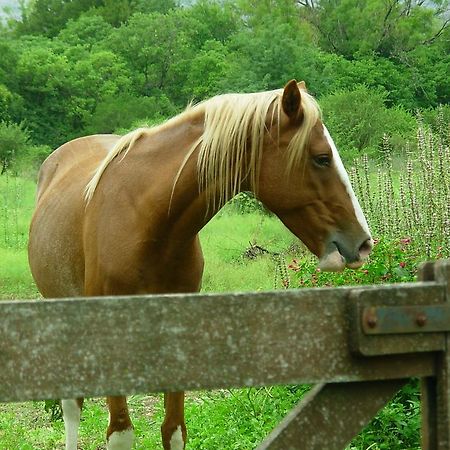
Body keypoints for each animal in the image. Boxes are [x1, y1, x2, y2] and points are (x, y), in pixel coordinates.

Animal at [27, 81, 372, 450]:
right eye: (321, 158)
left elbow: (174, 430)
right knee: (71, 406)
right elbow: (120, 434)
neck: (145, 220)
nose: (364, 244)